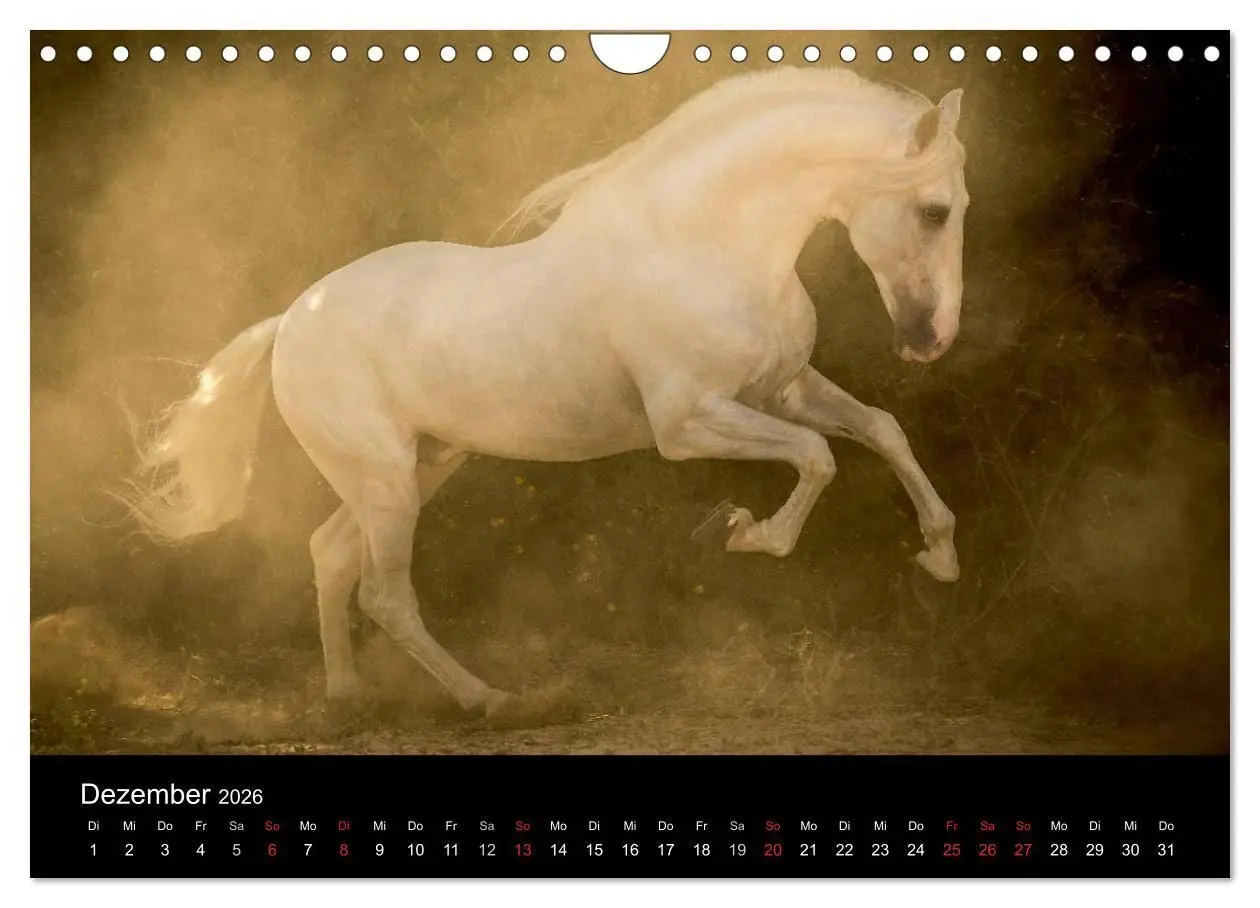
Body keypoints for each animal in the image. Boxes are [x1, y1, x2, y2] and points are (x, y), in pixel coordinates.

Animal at [121, 67, 968, 718]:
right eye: (934, 211)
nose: (931, 339)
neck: (703, 243)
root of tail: (292, 320)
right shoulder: (688, 423)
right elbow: (820, 457)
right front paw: (739, 532)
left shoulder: (782, 389)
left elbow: (880, 430)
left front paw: (940, 556)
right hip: (386, 481)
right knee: (384, 595)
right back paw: (489, 700)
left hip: (419, 468)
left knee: (329, 556)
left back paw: (348, 696)